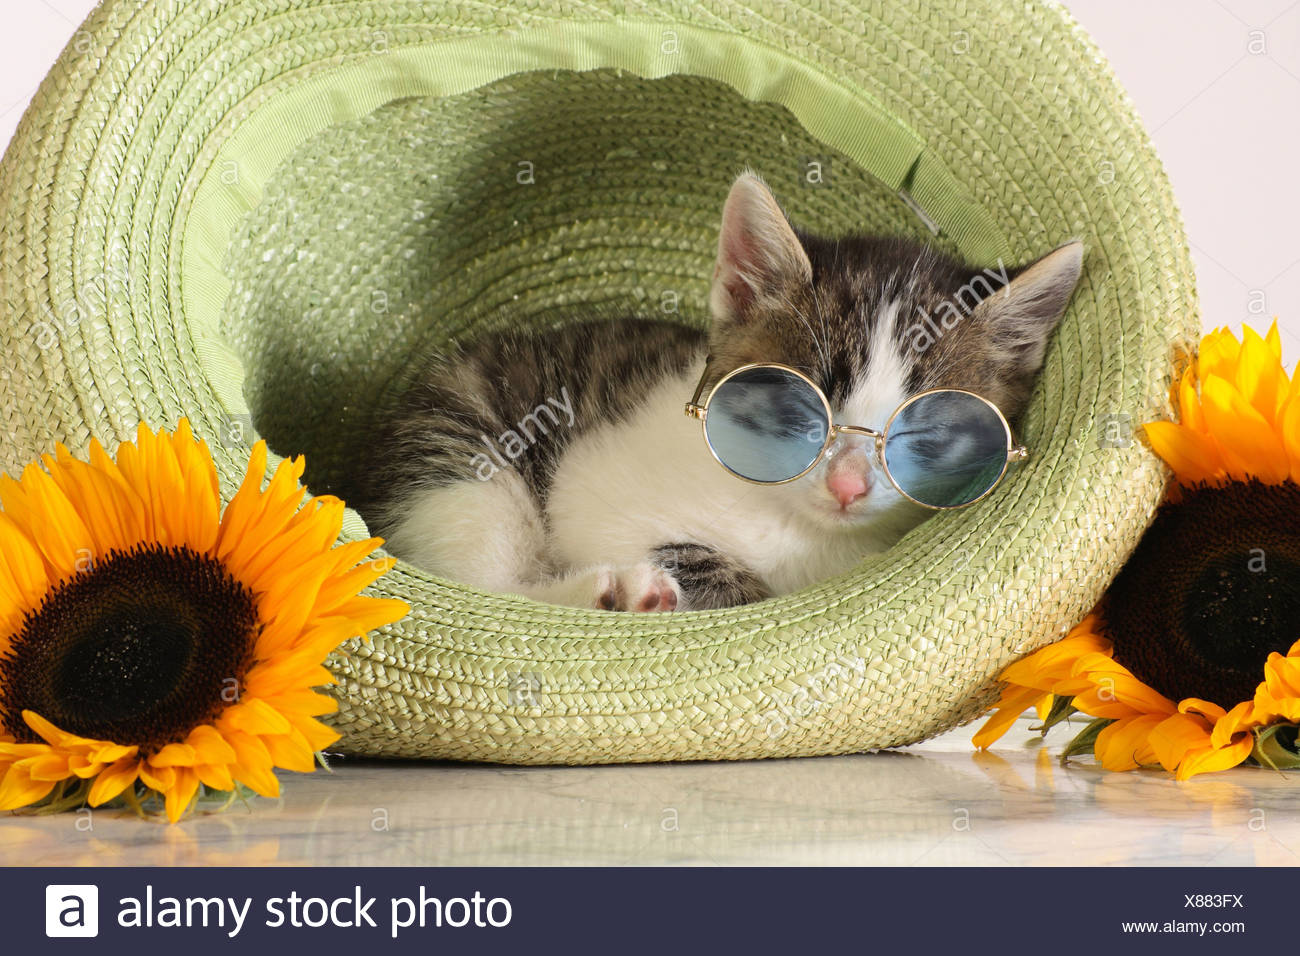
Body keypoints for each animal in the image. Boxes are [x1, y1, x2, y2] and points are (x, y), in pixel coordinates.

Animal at [353, 171, 1076, 613]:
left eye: (925, 430)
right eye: (799, 404)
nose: (848, 486)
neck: (803, 530)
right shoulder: (587, 483)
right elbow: (697, 557)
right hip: (462, 450)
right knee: (491, 585)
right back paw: (615, 592)